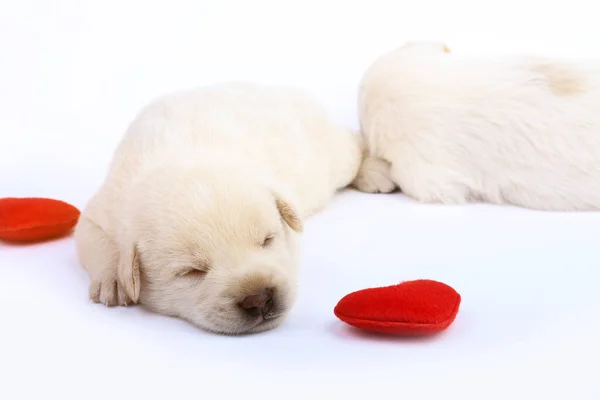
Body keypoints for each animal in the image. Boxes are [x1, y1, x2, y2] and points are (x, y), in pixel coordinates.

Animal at [75, 83, 364, 336]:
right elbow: (95, 240)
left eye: (267, 240)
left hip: (327, 157)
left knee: (352, 145)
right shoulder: (102, 210)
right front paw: (113, 279)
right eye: (192, 271)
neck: (183, 154)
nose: (258, 298)